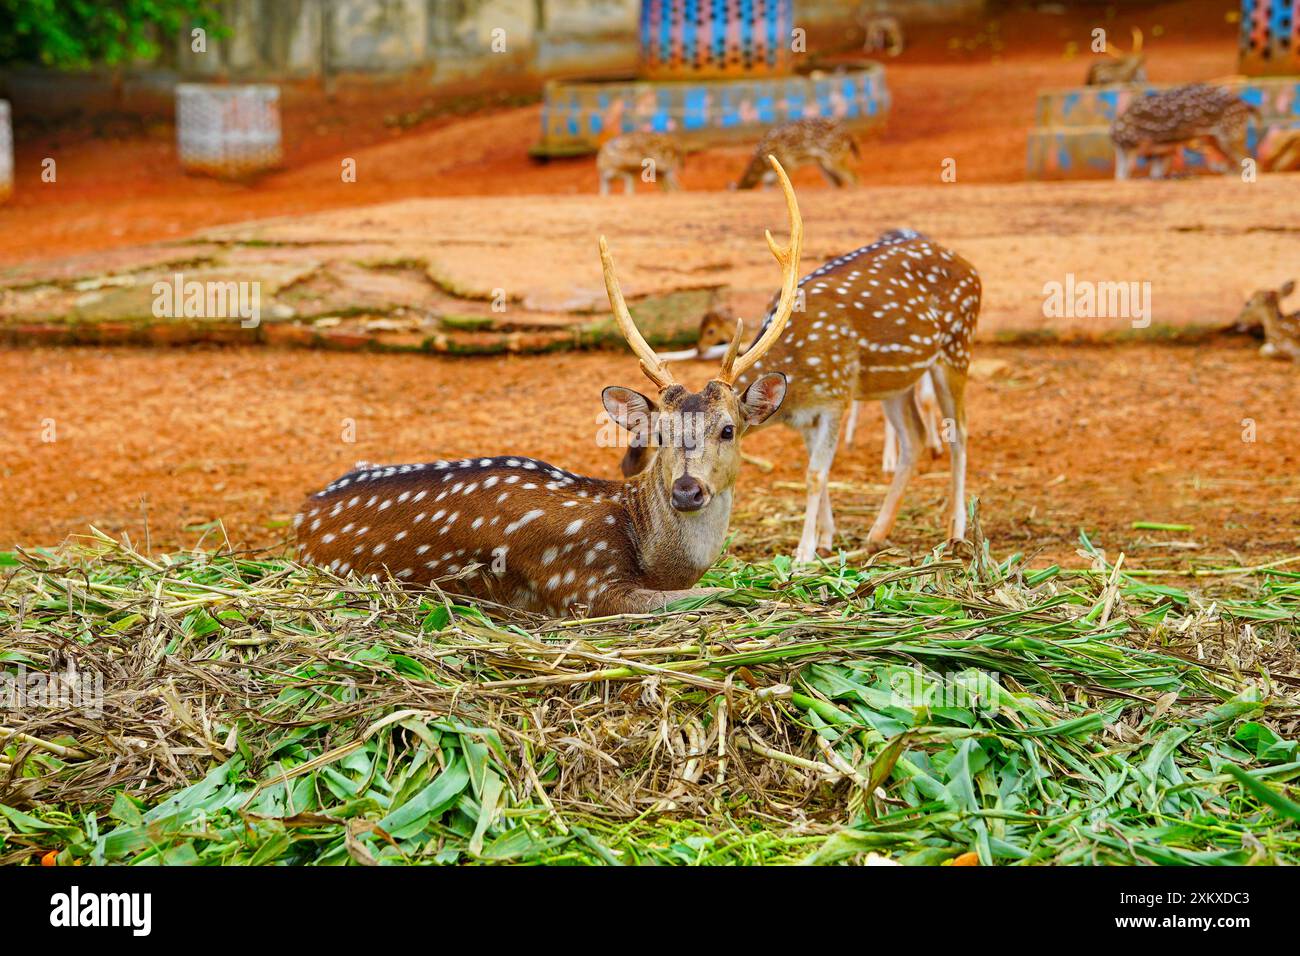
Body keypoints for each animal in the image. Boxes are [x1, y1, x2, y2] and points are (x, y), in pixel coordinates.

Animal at [295, 156, 802, 616]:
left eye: (728, 429)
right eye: (660, 434)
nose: (687, 491)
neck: (645, 548)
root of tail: (302, 515)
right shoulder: (584, 583)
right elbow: (715, 593)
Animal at [620, 230, 980, 562]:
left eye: (728, 430)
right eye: (661, 434)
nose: (686, 493)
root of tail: (969, 266)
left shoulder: (836, 396)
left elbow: (815, 475)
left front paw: (804, 552)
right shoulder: (808, 416)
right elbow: (817, 470)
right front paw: (826, 538)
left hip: (957, 346)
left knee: (960, 432)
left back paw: (957, 532)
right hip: (895, 382)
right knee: (913, 437)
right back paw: (877, 532)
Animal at [1112, 83, 1259, 180]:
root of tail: (1245, 105)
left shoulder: (1132, 145)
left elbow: (1124, 174)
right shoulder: (1161, 151)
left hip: (1231, 133)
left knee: (1246, 159)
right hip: (1216, 139)